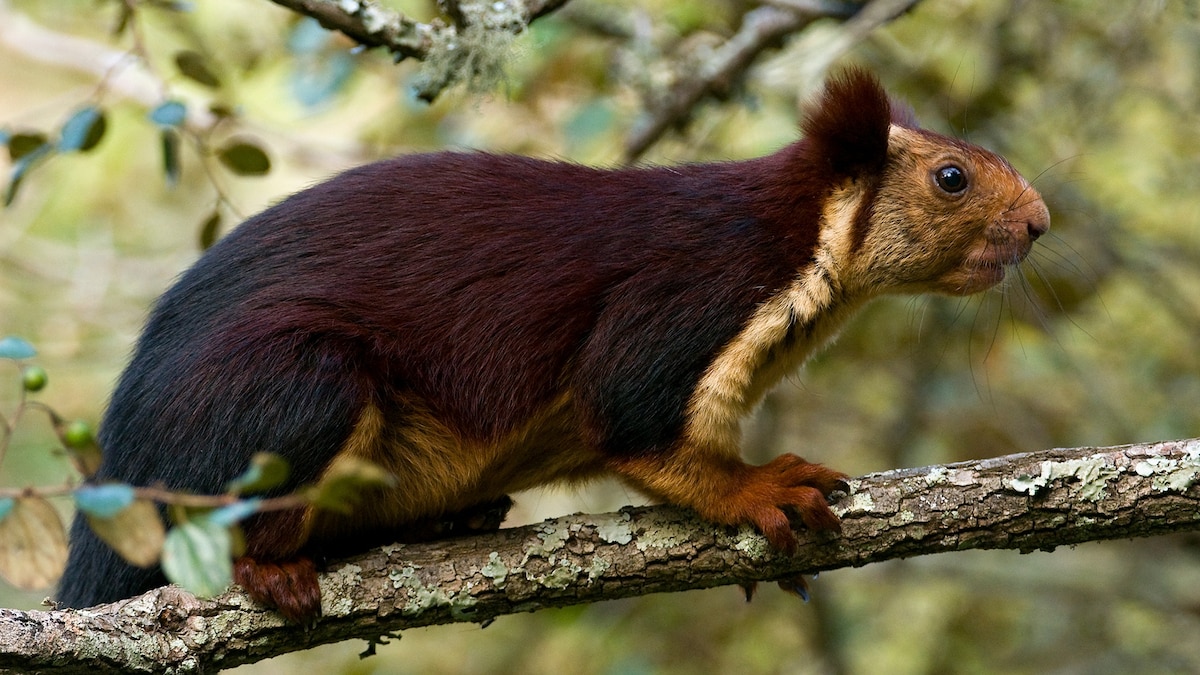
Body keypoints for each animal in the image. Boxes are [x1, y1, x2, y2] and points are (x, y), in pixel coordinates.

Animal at [58, 68, 1051, 619]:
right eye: (951, 177)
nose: (1042, 222)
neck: (799, 236)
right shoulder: (690, 293)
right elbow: (633, 419)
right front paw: (760, 487)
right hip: (293, 386)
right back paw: (272, 568)